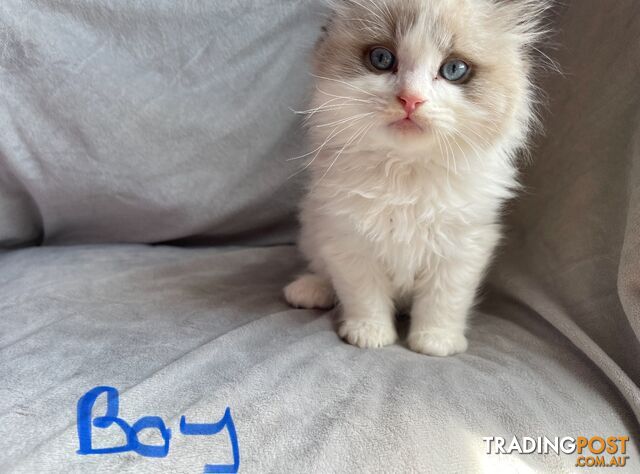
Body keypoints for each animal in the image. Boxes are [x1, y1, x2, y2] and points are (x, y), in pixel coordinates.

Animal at [284, 0, 552, 356]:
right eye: (382, 59)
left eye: (454, 69)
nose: (411, 99)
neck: (405, 172)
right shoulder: (348, 239)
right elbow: (365, 296)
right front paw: (370, 334)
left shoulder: (461, 246)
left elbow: (442, 301)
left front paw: (435, 342)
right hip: (314, 228)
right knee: (322, 271)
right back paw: (310, 290)